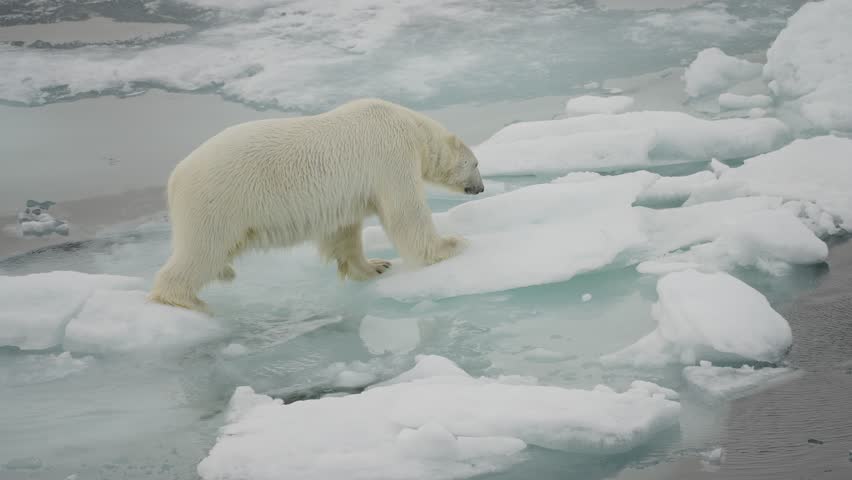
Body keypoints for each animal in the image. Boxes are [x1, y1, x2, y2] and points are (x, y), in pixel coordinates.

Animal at [148, 98, 485, 312]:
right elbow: (405, 213)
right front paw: (452, 244)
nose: (481, 188)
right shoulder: (391, 154)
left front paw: (375, 266)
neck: (411, 126)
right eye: (476, 163)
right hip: (216, 202)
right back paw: (191, 301)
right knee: (202, 250)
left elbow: (344, 232)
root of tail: (175, 178)